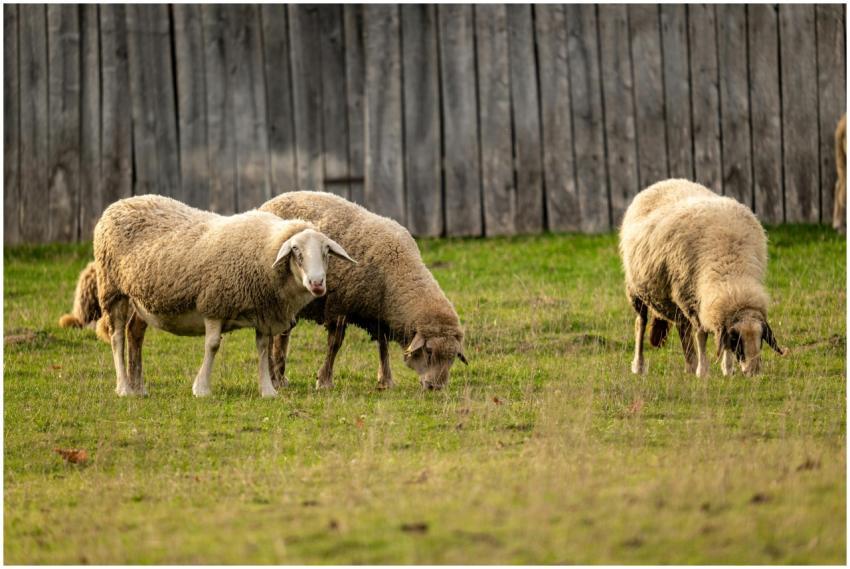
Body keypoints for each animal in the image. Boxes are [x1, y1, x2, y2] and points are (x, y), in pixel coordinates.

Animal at [93, 195, 355, 397]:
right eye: (296, 251)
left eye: (326, 252)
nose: (317, 283)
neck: (264, 252)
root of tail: (120, 204)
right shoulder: (214, 303)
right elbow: (213, 345)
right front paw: (201, 388)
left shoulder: (263, 313)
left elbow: (263, 348)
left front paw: (267, 390)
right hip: (112, 289)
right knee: (117, 337)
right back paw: (124, 388)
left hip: (142, 299)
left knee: (134, 333)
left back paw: (139, 387)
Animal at [619, 179, 787, 378]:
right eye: (736, 339)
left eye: (761, 338)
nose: (753, 372)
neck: (732, 271)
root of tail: (663, 182)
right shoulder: (692, 300)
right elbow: (701, 335)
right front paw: (703, 371)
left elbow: (717, 341)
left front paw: (727, 369)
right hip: (637, 291)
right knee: (641, 324)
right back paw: (639, 365)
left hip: (675, 299)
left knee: (682, 329)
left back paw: (690, 365)